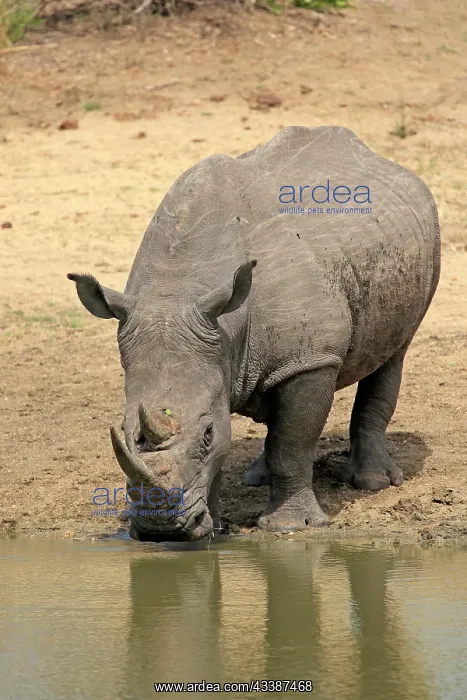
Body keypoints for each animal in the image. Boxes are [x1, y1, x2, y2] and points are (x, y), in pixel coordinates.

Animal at [68, 126, 440, 541]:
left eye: (207, 432)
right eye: (124, 430)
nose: (160, 529)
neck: (179, 288)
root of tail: (386, 160)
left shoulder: (310, 361)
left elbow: (292, 443)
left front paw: (289, 527)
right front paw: (214, 529)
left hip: (425, 240)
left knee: (392, 356)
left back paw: (373, 482)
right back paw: (255, 478)